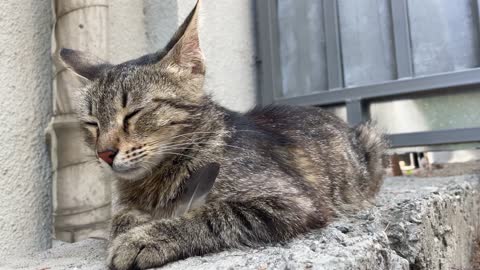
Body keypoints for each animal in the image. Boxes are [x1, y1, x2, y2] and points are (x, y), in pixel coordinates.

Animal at [60, 1, 388, 268]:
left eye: (134, 113)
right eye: (92, 123)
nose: (104, 153)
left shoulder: (294, 200)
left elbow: (213, 215)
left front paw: (145, 238)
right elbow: (120, 215)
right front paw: (128, 226)